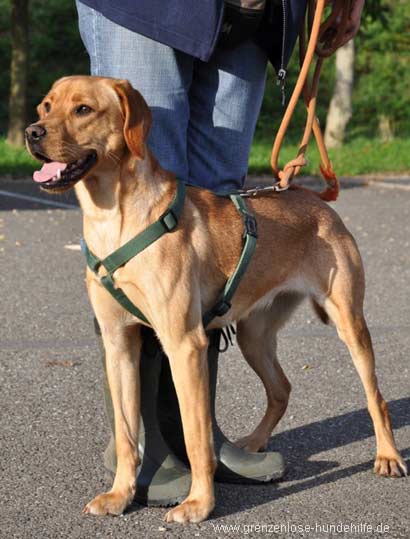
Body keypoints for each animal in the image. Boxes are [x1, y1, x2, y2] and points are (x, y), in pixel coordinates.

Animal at [25, 75, 407, 523]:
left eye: (83, 109)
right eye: (46, 106)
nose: (32, 132)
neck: (114, 219)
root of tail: (314, 198)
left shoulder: (184, 343)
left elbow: (195, 436)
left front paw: (199, 503)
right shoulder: (119, 344)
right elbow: (126, 433)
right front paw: (120, 494)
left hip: (349, 323)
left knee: (375, 397)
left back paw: (387, 456)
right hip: (253, 336)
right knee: (281, 389)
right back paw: (254, 444)